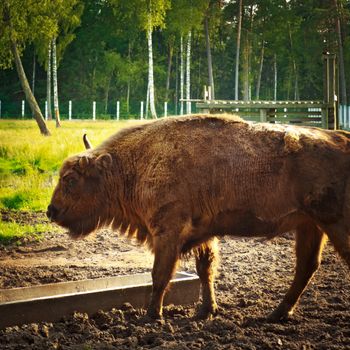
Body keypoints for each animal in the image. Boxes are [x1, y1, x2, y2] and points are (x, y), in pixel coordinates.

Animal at [47, 114, 350, 320]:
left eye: (71, 179)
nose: (52, 211)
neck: (133, 163)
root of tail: (343, 138)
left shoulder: (168, 232)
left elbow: (160, 274)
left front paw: (152, 315)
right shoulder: (204, 233)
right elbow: (206, 270)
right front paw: (206, 310)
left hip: (334, 224)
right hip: (310, 225)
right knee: (306, 266)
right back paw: (277, 314)